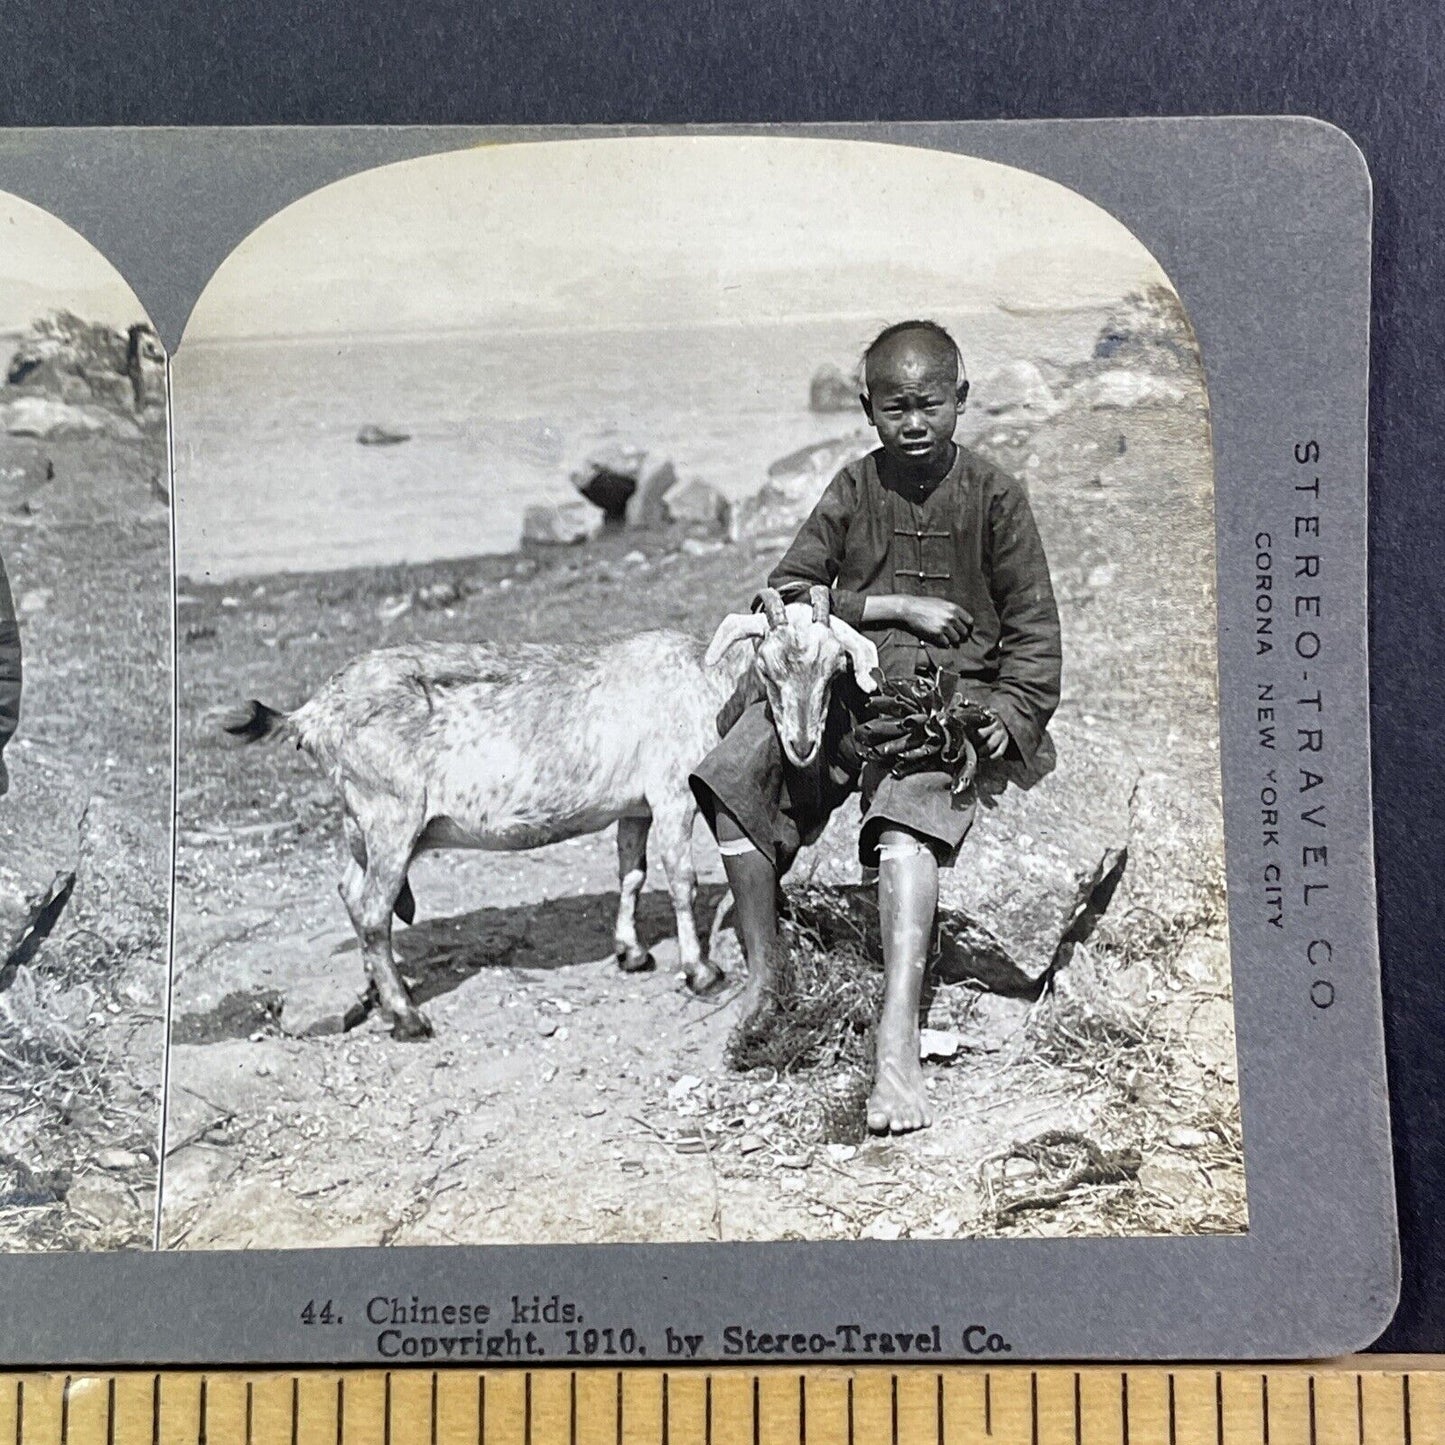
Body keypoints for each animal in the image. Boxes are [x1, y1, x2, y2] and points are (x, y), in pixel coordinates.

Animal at [219, 580, 872, 1034]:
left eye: (833, 669)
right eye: (769, 667)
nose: (802, 745)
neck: (704, 686)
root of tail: (312, 714)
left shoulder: (635, 806)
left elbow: (631, 873)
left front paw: (631, 953)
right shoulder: (671, 793)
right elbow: (682, 880)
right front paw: (701, 971)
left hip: (362, 820)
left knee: (350, 894)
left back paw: (379, 993)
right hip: (391, 816)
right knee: (374, 909)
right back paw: (407, 1016)